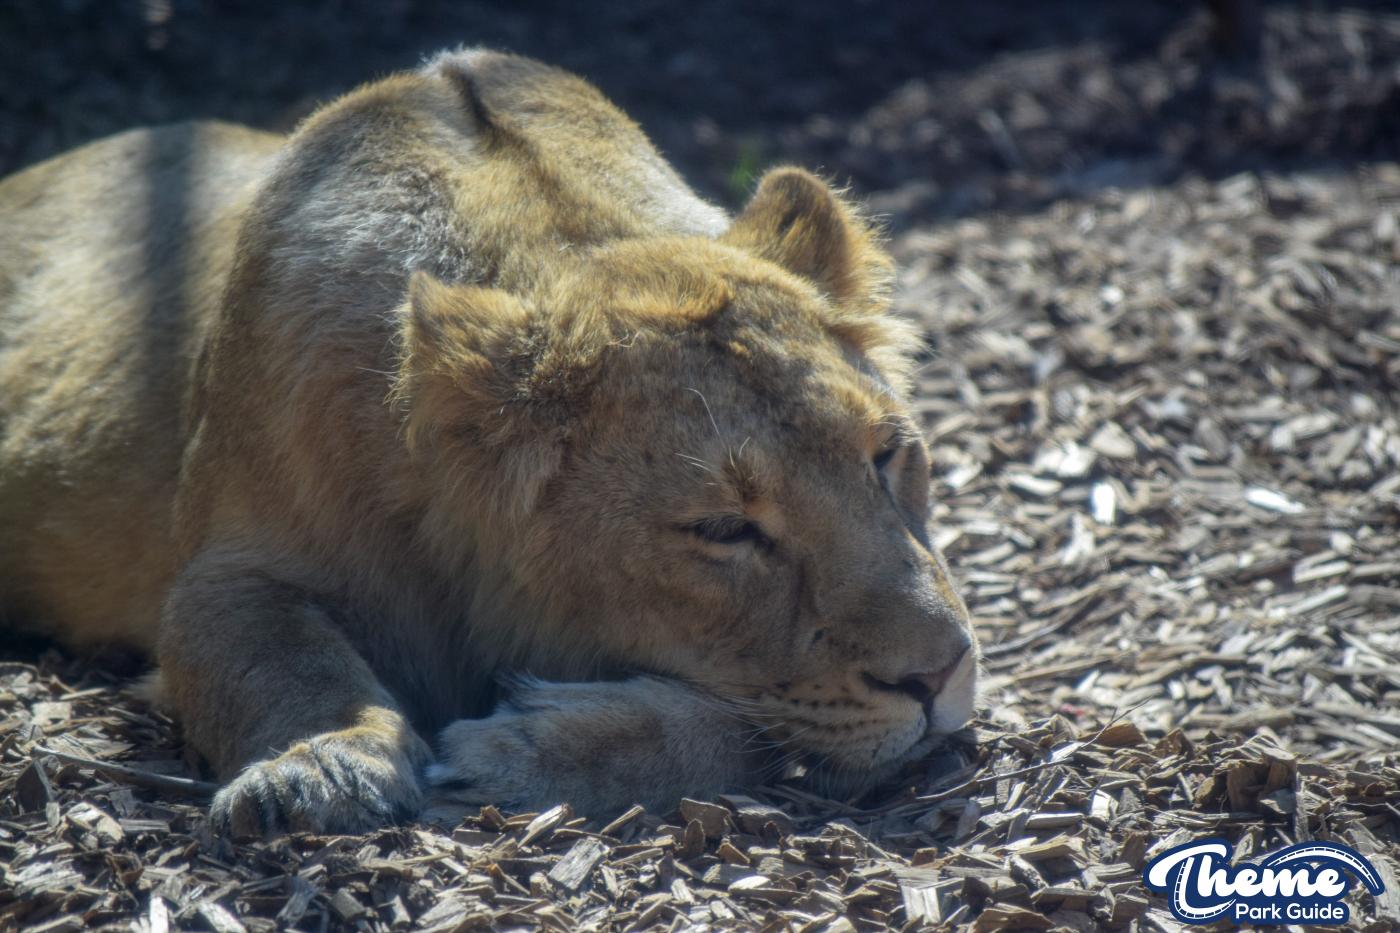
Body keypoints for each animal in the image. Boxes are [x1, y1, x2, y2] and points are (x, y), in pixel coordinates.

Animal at [0, 48, 978, 836]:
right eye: (724, 531)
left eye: (887, 456)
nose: (940, 674)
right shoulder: (227, 567)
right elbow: (280, 660)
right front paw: (320, 767)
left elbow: (754, 723)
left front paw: (533, 749)